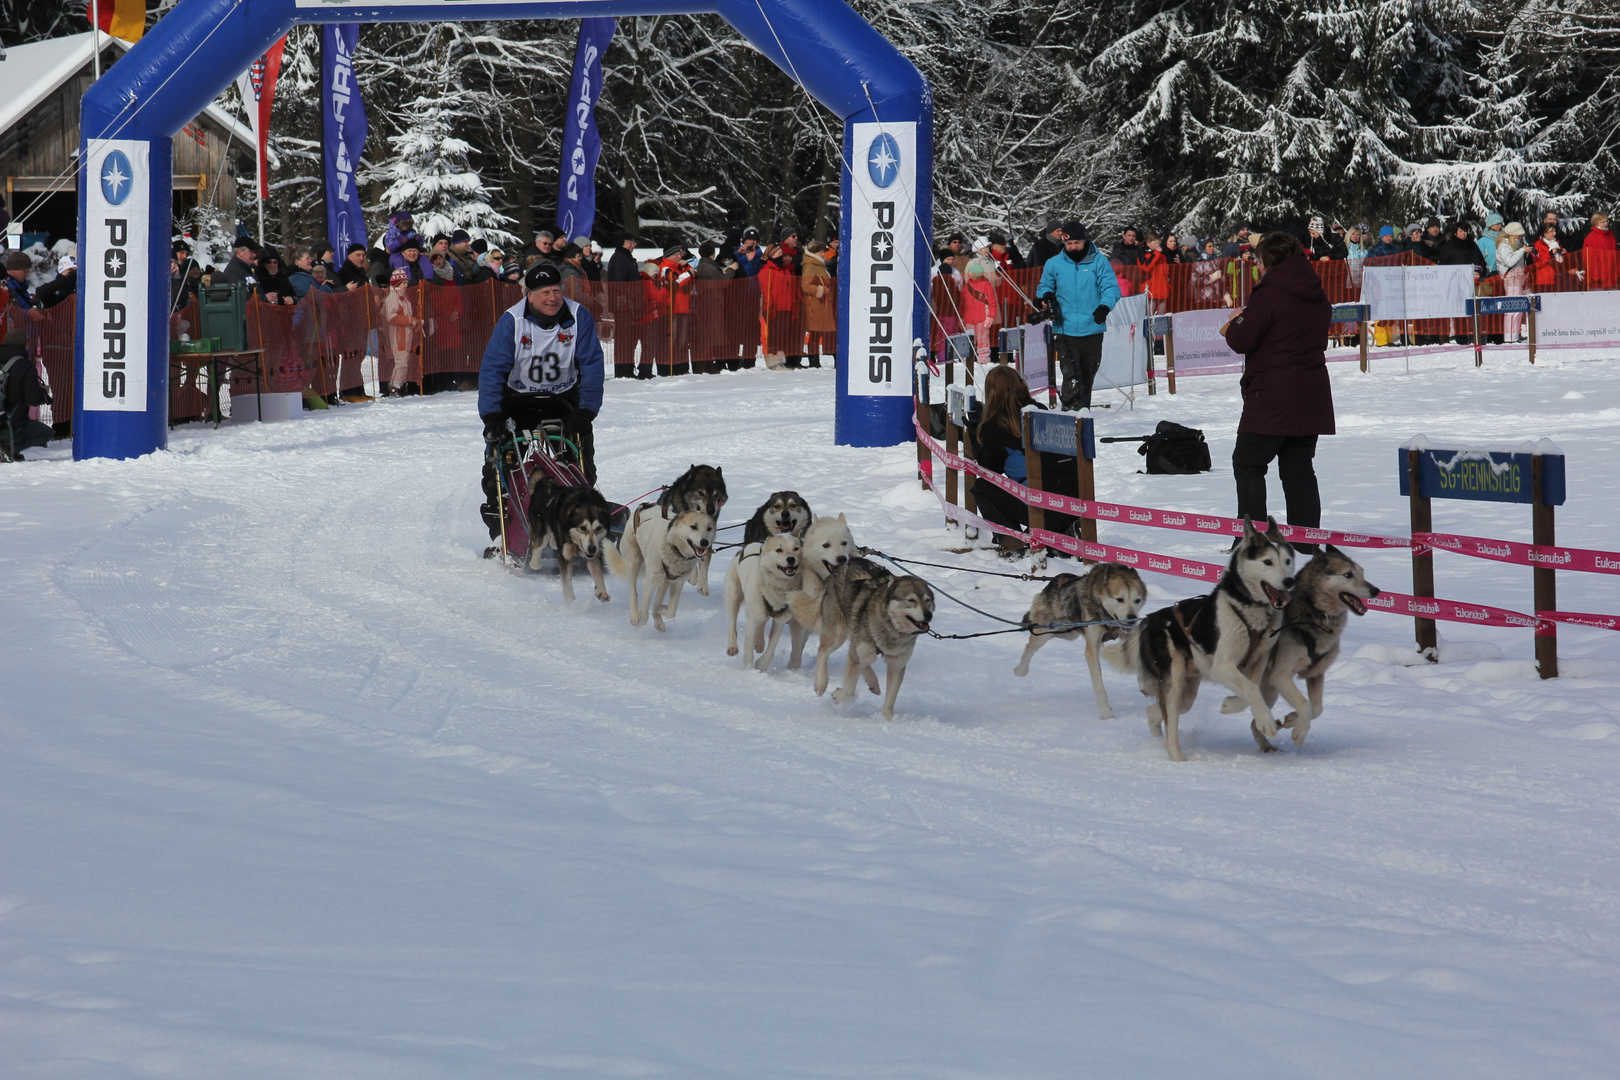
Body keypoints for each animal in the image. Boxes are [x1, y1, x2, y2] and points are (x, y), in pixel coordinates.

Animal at [524, 476, 612, 608]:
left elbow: (598, 573)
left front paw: (601, 592)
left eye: (599, 528)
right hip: (542, 533)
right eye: (582, 528)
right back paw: (535, 563)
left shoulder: (593, 555)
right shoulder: (565, 557)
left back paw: (554, 543)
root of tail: (545, 481)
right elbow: (567, 582)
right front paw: (571, 604)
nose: (592, 549)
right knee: (537, 546)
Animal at [725, 531, 806, 667]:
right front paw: (748, 668)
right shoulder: (752, 618)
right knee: (732, 623)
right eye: (779, 550)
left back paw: (759, 642)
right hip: (734, 597)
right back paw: (732, 646)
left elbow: (772, 647)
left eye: (796, 548)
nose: (791, 559)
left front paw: (761, 665)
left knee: (762, 622)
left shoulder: (780, 620)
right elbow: (748, 649)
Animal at [1010, 566, 1153, 718]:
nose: (1131, 618)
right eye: (1120, 599)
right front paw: (1106, 713)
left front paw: (1144, 684)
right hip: (1046, 632)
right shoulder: (1092, 648)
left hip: (1067, 633)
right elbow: (1099, 686)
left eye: (1137, 600)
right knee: (1029, 647)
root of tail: (1054, 581)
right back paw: (1020, 670)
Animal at [1101, 518, 1289, 761]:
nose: (1289, 580)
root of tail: (1149, 620)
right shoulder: (1222, 666)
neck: (1248, 609)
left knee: (1155, 711)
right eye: (1267, 562)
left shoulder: (1258, 660)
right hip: (1174, 681)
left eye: (1287, 560)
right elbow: (1250, 689)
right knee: (1170, 723)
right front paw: (1266, 722)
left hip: (1187, 690)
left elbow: (1252, 688)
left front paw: (1232, 705)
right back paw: (1178, 758)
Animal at [1218, 540, 1380, 751]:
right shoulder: (1281, 675)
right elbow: (1305, 704)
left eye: (1362, 573)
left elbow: (1317, 708)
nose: (1375, 590)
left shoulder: (1316, 673)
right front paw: (1299, 731)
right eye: (1348, 575)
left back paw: (1267, 744)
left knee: (1255, 720)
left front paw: (1291, 720)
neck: (1315, 612)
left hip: (1270, 690)